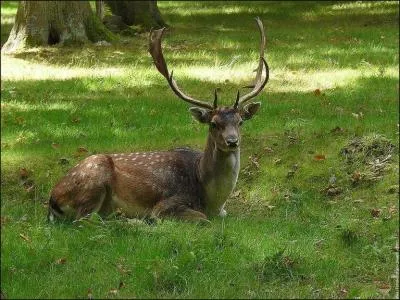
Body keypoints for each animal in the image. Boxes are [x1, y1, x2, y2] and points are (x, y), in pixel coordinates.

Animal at [48, 17, 270, 221]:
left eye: (240, 122)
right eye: (213, 124)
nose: (232, 141)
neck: (213, 202)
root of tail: (52, 200)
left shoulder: (223, 212)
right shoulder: (167, 204)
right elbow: (201, 218)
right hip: (93, 181)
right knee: (85, 221)